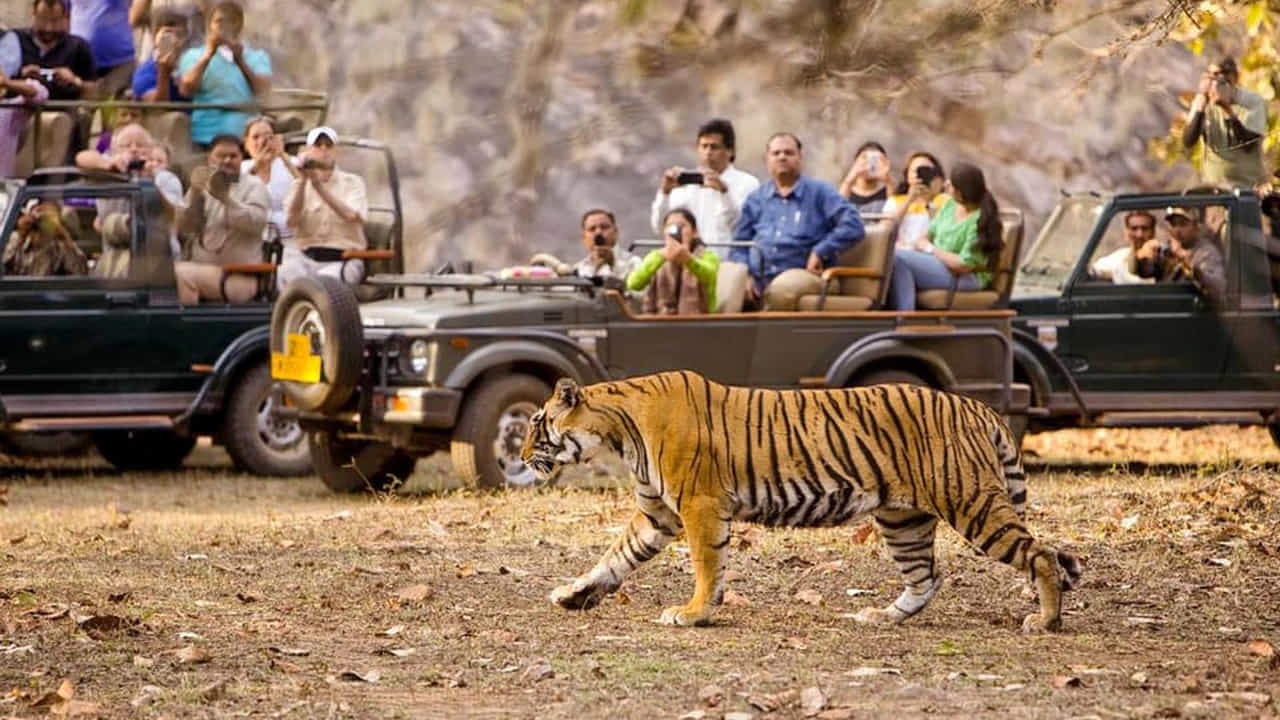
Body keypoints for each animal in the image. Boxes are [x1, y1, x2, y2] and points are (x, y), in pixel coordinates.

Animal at [521, 370, 1082, 632]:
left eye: (537, 424)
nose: (523, 456)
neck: (617, 430)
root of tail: (978, 407)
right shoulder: (657, 514)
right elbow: (614, 557)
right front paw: (573, 594)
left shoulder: (699, 505)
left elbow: (706, 565)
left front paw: (694, 613)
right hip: (904, 518)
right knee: (926, 577)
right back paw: (881, 617)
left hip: (970, 502)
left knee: (1041, 554)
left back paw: (1046, 622)